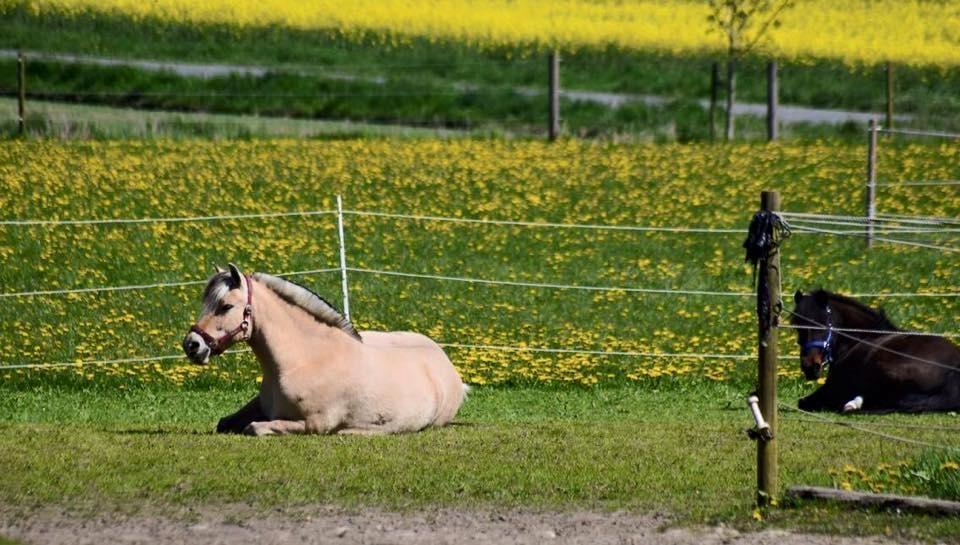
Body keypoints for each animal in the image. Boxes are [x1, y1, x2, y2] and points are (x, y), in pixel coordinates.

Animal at [184, 264, 468, 434]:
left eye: (226, 306)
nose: (191, 345)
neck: (303, 360)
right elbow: (224, 423)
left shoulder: (314, 424)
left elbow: (254, 427)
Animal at [788, 288, 960, 412]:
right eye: (796, 325)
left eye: (821, 322)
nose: (809, 366)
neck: (861, 338)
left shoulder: (832, 387)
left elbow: (803, 402)